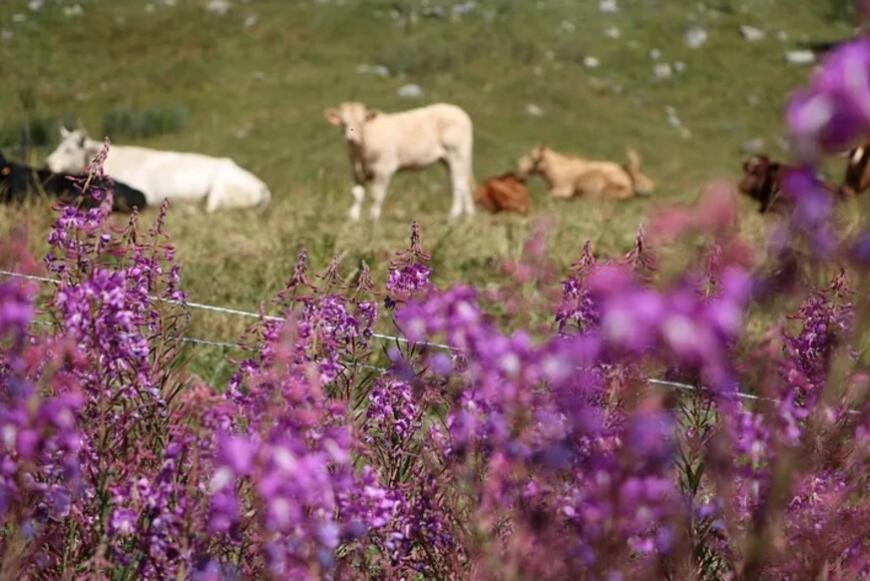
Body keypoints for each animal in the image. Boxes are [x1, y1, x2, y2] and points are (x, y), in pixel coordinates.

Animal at [326, 102, 476, 220]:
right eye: (343, 123)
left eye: (361, 122)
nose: (351, 139)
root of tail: (458, 111)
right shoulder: (356, 171)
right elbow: (357, 194)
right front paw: (353, 217)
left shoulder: (383, 169)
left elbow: (377, 195)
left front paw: (373, 217)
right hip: (448, 160)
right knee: (462, 183)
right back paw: (469, 214)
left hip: (457, 154)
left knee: (459, 184)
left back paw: (454, 215)